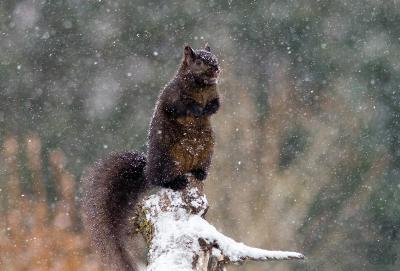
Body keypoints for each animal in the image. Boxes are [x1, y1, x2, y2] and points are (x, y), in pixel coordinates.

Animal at [80, 45, 219, 271]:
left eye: (215, 57)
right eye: (199, 62)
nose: (216, 69)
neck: (201, 87)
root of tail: (147, 170)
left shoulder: (215, 94)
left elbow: (217, 104)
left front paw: (210, 108)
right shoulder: (172, 96)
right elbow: (180, 107)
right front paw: (197, 109)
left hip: (207, 151)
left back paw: (198, 172)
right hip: (167, 158)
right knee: (160, 179)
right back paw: (177, 181)